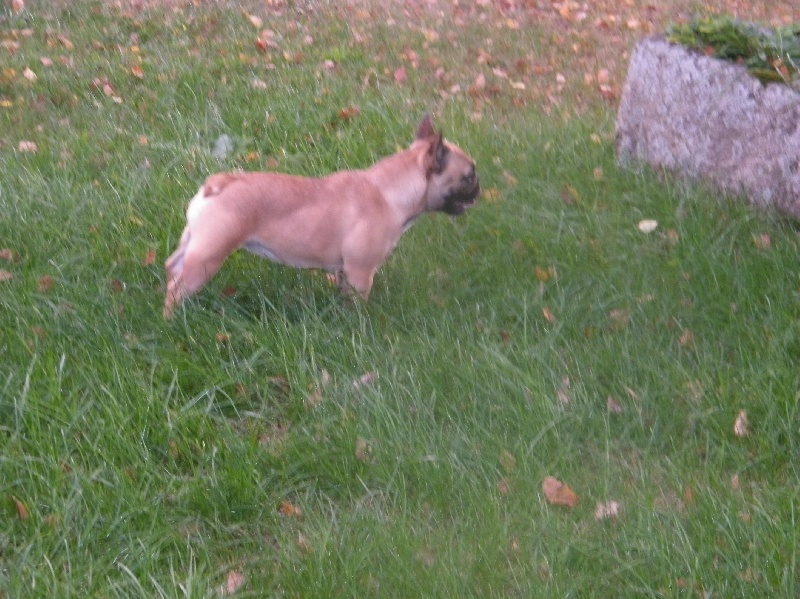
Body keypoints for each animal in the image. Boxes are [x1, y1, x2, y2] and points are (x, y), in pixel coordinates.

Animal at [163, 114, 480, 317]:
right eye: (469, 175)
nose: (479, 188)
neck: (390, 191)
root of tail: (219, 184)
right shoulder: (361, 272)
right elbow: (357, 304)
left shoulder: (344, 271)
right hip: (210, 255)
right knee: (178, 288)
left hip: (194, 244)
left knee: (172, 268)